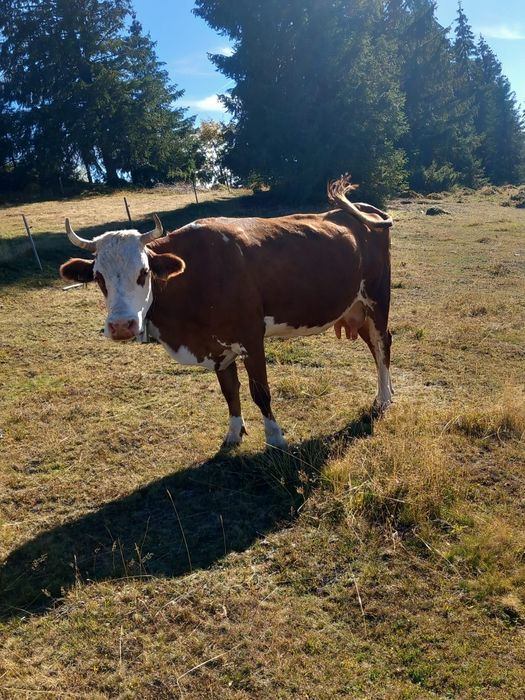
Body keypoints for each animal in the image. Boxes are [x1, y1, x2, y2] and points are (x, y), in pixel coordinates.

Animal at [60, 176, 394, 449]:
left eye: (144, 273)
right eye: (98, 277)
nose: (121, 326)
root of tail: (361, 210)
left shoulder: (251, 337)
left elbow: (260, 391)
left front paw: (275, 437)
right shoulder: (216, 345)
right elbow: (229, 391)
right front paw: (234, 433)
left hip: (377, 298)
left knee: (382, 345)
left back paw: (384, 398)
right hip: (355, 307)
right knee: (373, 344)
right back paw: (383, 393)